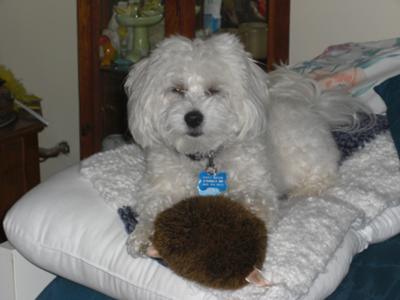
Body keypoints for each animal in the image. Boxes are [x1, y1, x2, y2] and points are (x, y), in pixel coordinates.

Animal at [125, 34, 372, 256]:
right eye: (177, 89)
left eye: (214, 90)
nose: (193, 118)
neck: (204, 156)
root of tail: (311, 105)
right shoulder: (159, 187)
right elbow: (151, 208)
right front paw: (143, 234)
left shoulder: (258, 183)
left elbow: (257, 201)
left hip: (308, 158)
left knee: (321, 178)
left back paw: (304, 191)